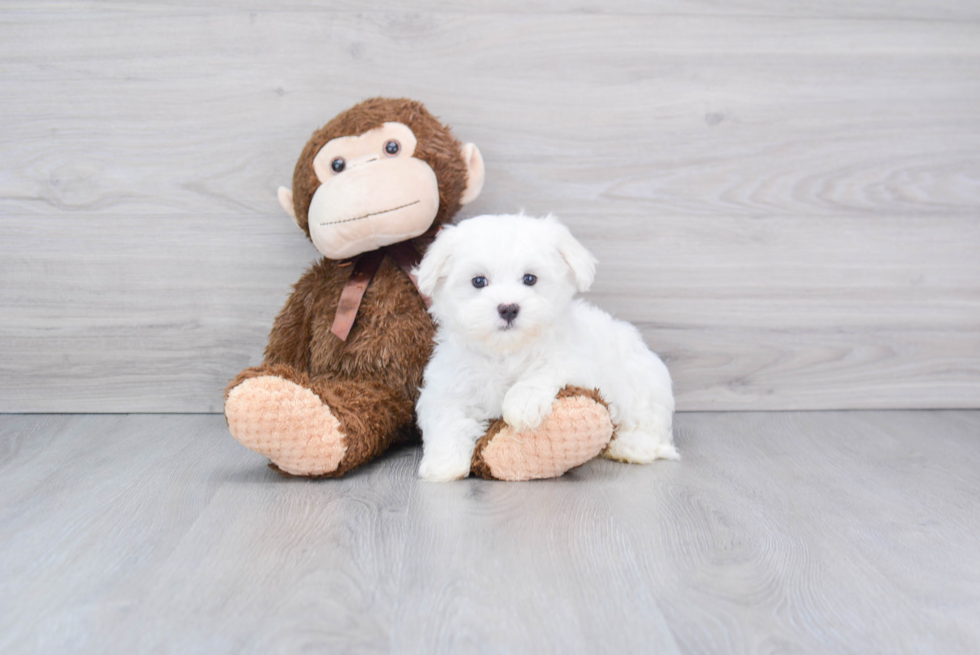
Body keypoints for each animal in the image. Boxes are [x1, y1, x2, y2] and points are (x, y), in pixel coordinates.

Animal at [412, 215, 672, 482]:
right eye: (478, 281)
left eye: (530, 279)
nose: (508, 308)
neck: (506, 351)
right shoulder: (448, 383)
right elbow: (447, 417)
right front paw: (445, 463)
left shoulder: (579, 362)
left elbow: (547, 369)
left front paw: (522, 403)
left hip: (641, 382)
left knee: (649, 423)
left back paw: (631, 446)